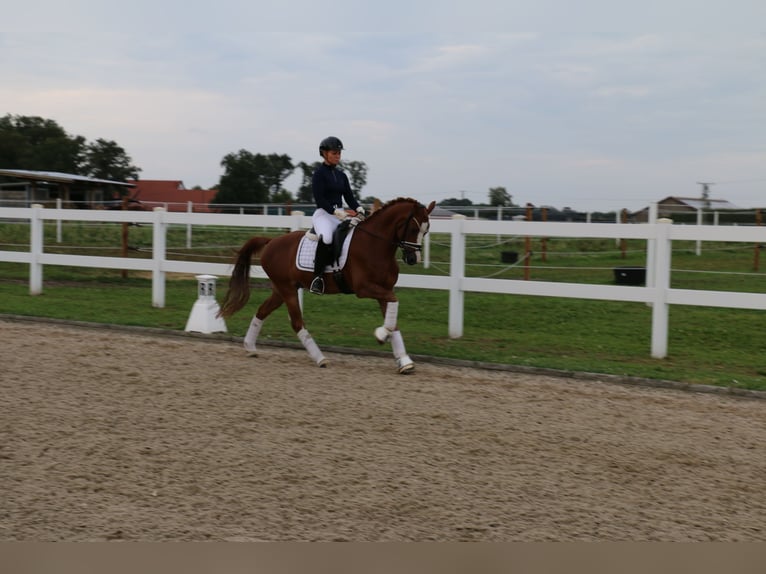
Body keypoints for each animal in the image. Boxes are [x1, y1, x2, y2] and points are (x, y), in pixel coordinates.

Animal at [219, 198, 438, 376]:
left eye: (426, 230)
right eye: (413, 229)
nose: (413, 259)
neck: (375, 244)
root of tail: (271, 241)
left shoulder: (383, 289)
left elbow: (393, 319)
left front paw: (404, 361)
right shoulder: (364, 288)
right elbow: (394, 303)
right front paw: (381, 334)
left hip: (281, 290)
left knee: (262, 311)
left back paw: (250, 348)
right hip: (287, 290)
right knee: (297, 323)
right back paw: (320, 359)